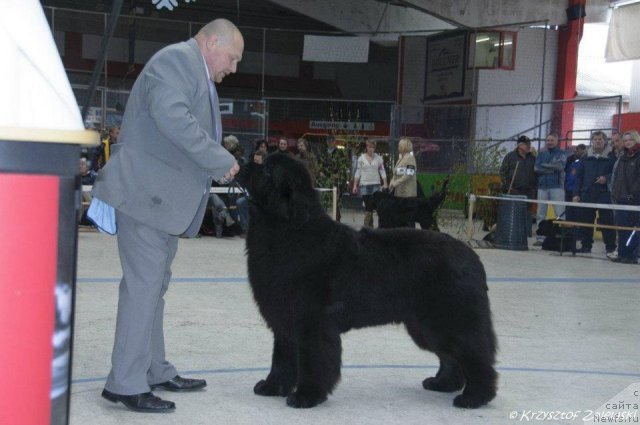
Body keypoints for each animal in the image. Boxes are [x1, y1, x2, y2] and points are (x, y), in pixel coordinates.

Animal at [242, 155, 498, 408]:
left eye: (268, 169)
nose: (244, 163)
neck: (288, 229)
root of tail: (472, 258)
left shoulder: (312, 321)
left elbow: (313, 360)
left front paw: (307, 395)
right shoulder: (283, 318)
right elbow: (282, 358)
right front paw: (271, 387)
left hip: (452, 320)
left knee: (476, 357)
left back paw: (474, 397)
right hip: (427, 326)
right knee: (450, 357)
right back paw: (443, 384)